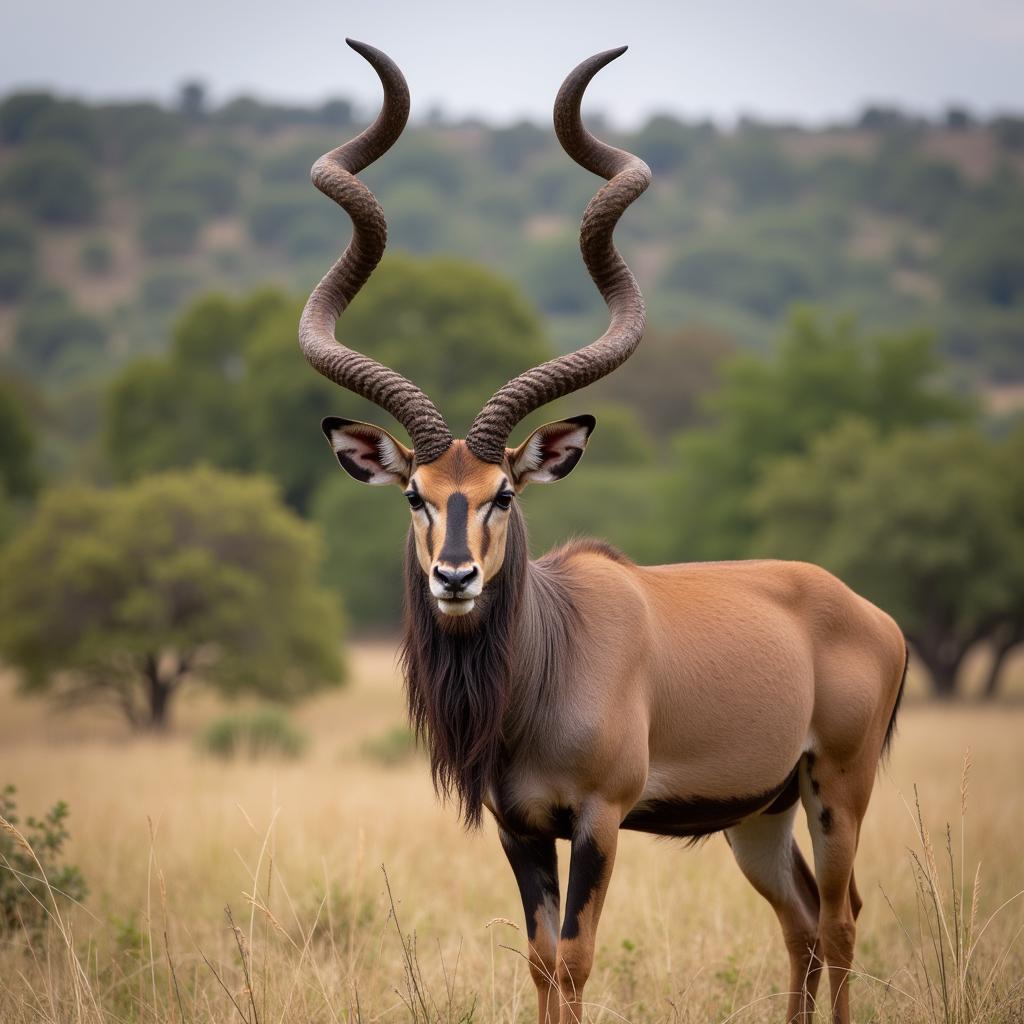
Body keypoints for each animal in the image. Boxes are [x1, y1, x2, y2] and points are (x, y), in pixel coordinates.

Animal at [299, 39, 909, 1024]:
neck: (545, 660)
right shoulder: (520, 830)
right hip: (761, 816)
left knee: (843, 917)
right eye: (417, 495)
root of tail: (864, 612)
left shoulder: (599, 821)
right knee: (804, 921)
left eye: (504, 493)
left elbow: (578, 959)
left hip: (837, 789)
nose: (457, 578)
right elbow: (542, 960)